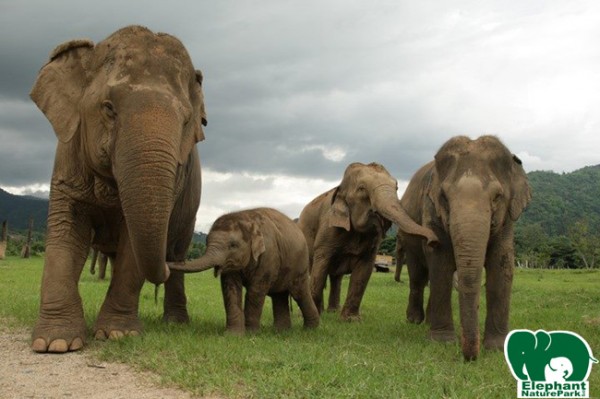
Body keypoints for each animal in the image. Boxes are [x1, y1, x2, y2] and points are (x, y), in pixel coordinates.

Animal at [29, 24, 207, 354]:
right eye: (108, 108)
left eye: (187, 120)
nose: (163, 268)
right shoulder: (67, 156)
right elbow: (65, 232)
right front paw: (54, 344)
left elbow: (131, 246)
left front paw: (117, 335)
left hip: (190, 209)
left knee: (178, 249)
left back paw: (175, 323)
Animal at [169, 209, 318, 334]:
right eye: (206, 242)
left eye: (233, 245)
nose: (167, 263)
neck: (246, 217)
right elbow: (230, 288)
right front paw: (233, 335)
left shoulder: (269, 254)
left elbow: (256, 291)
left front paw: (251, 333)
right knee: (279, 295)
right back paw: (281, 331)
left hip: (300, 264)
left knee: (299, 293)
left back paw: (310, 330)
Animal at [298, 162, 438, 322]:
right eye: (362, 189)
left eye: (397, 187)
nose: (433, 240)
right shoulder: (328, 229)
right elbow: (321, 265)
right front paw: (311, 318)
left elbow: (364, 271)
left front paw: (351, 320)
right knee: (317, 269)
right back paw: (322, 311)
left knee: (336, 277)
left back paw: (333, 311)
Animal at [398, 136, 528, 360]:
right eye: (444, 196)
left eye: (497, 196)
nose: (470, 357)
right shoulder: (430, 208)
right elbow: (440, 261)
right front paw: (442, 342)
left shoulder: (507, 221)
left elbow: (502, 264)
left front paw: (497, 347)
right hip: (408, 237)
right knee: (418, 276)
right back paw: (414, 321)